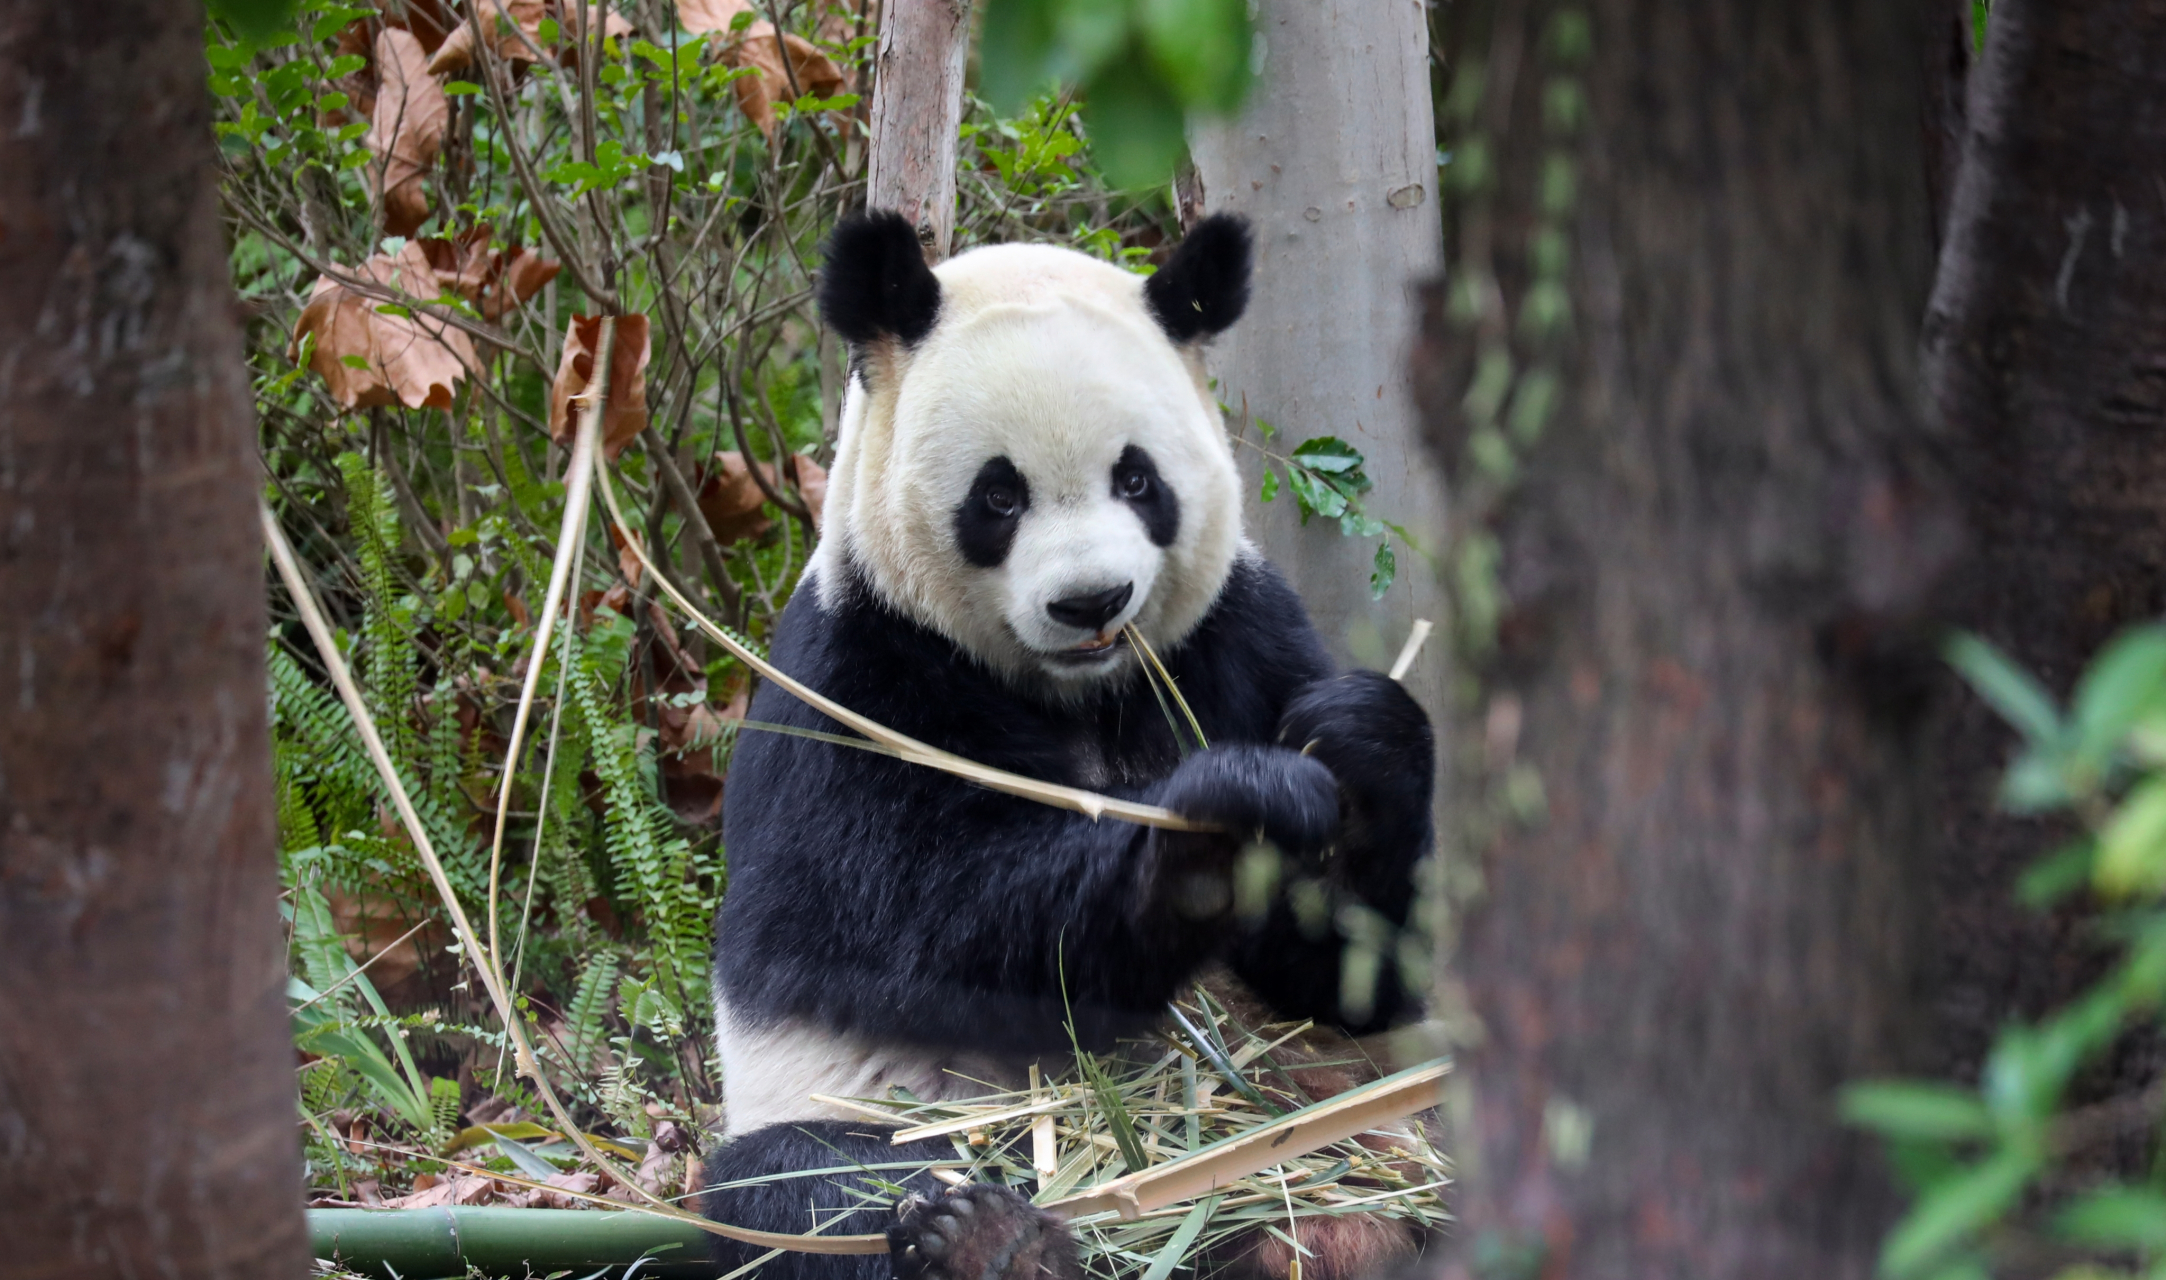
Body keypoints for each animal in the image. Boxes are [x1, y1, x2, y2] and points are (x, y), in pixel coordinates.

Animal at [697, 210, 1438, 1280]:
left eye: (1137, 478)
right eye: (998, 497)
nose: (1092, 601)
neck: (1081, 691)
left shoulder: (1238, 636)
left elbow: (1339, 978)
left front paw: (1357, 747)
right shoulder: (854, 680)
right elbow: (919, 926)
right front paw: (1218, 828)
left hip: (1370, 1118)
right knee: (809, 1189)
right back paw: (991, 1239)